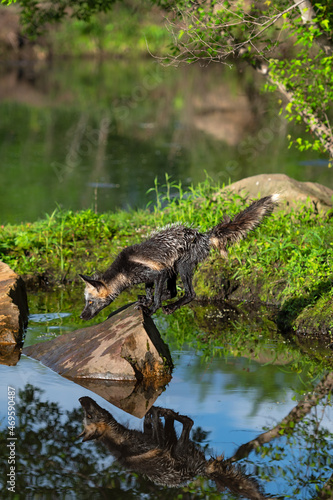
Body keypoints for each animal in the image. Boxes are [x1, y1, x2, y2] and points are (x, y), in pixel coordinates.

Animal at [78, 396, 272, 498]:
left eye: (88, 415)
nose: (81, 398)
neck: (119, 439)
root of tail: (200, 470)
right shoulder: (156, 443)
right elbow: (156, 423)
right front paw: (156, 412)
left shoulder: (155, 438)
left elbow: (150, 421)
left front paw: (153, 412)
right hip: (179, 448)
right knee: (188, 423)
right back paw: (173, 415)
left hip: (173, 442)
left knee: (174, 422)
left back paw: (167, 412)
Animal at [80, 193, 278, 318]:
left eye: (90, 303)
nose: (82, 317)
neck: (124, 270)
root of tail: (203, 235)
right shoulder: (153, 276)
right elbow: (151, 293)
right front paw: (146, 301)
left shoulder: (157, 273)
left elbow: (156, 298)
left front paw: (152, 309)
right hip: (173, 269)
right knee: (175, 291)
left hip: (182, 267)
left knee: (190, 294)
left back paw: (171, 306)